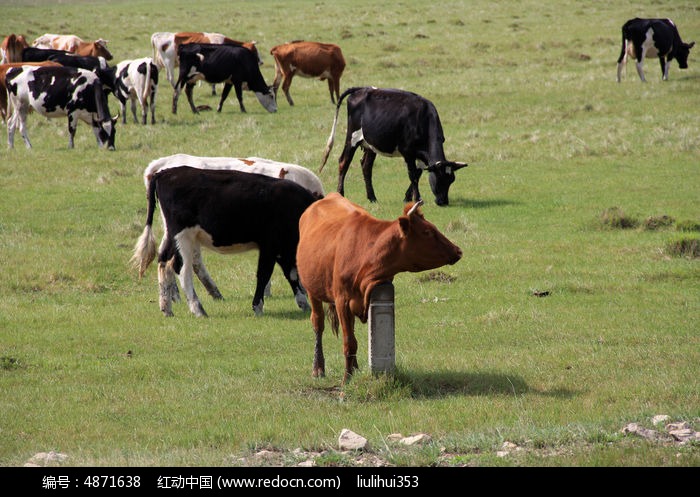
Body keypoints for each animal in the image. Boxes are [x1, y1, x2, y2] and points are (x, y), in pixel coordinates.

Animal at [131, 165, 318, 316]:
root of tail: (165, 173)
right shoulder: (270, 246)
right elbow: (264, 275)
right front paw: (257, 307)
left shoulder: (282, 248)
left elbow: (291, 274)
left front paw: (303, 303)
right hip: (182, 236)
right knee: (181, 268)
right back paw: (198, 309)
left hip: (173, 236)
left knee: (163, 261)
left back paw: (167, 308)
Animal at [296, 191, 464, 384]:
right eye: (427, 232)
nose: (458, 251)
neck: (367, 253)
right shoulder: (341, 301)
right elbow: (349, 342)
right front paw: (346, 379)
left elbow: (353, 338)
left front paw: (353, 372)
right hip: (312, 291)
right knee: (318, 323)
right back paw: (318, 368)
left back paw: (354, 367)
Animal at [320, 87, 468, 205]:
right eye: (439, 179)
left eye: (451, 180)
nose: (443, 202)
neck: (423, 119)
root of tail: (361, 89)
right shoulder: (408, 152)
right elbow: (413, 175)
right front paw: (417, 199)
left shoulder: (420, 155)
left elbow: (418, 173)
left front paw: (407, 197)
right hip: (352, 137)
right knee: (344, 162)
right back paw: (341, 194)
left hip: (371, 143)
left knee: (366, 166)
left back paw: (372, 197)